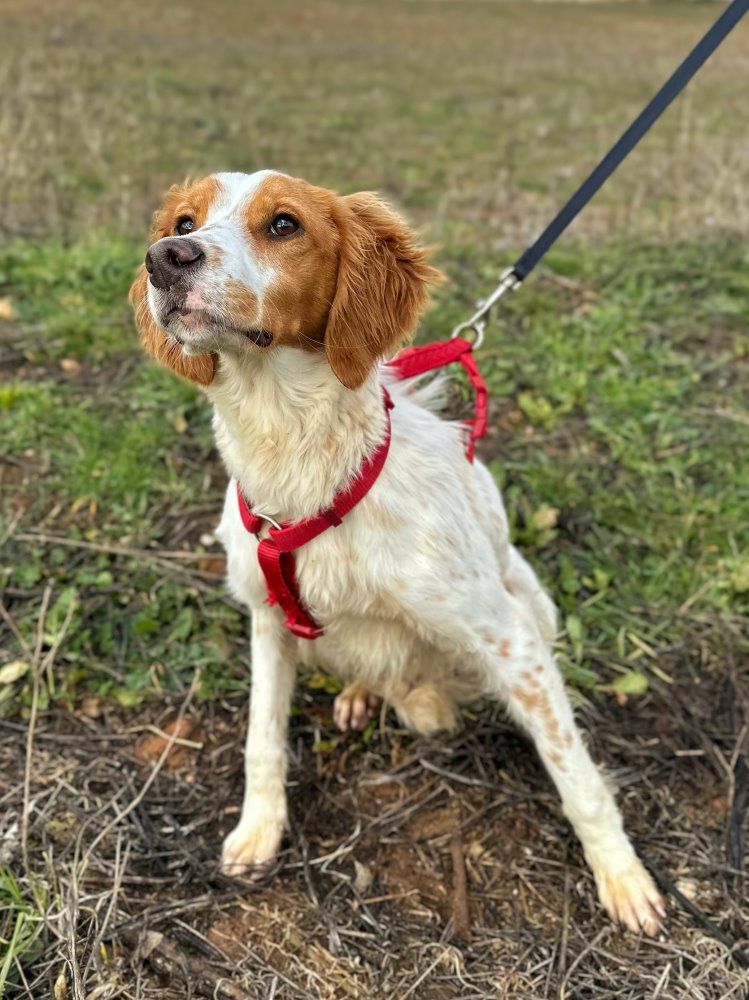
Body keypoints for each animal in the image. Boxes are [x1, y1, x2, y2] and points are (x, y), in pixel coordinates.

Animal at [130, 169, 665, 935]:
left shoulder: (511, 642)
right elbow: (262, 740)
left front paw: (621, 876)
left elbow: (575, 770)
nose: (165, 258)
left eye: (284, 224)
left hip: (532, 606)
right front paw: (258, 833)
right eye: (183, 220)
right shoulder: (266, 620)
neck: (302, 466)